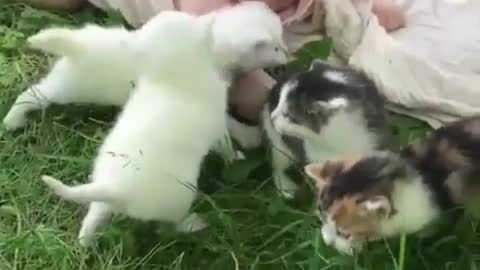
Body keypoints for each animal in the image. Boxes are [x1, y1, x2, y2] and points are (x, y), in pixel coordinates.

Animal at [1, 1, 286, 147]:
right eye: (274, 46)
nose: (286, 59)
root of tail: (76, 44)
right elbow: (227, 123)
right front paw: (248, 138)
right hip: (67, 87)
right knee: (31, 95)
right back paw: (12, 120)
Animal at [41, 10, 227, 247]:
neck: (170, 80)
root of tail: (116, 188)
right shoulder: (218, 124)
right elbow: (224, 143)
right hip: (178, 201)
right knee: (174, 224)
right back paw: (194, 223)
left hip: (100, 195)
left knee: (93, 217)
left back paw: (85, 242)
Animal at [262, 59, 386, 198]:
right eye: (279, 101)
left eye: (288, 115)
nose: (273, 117)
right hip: (278, 142)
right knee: (278, 164)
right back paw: (286, 188)